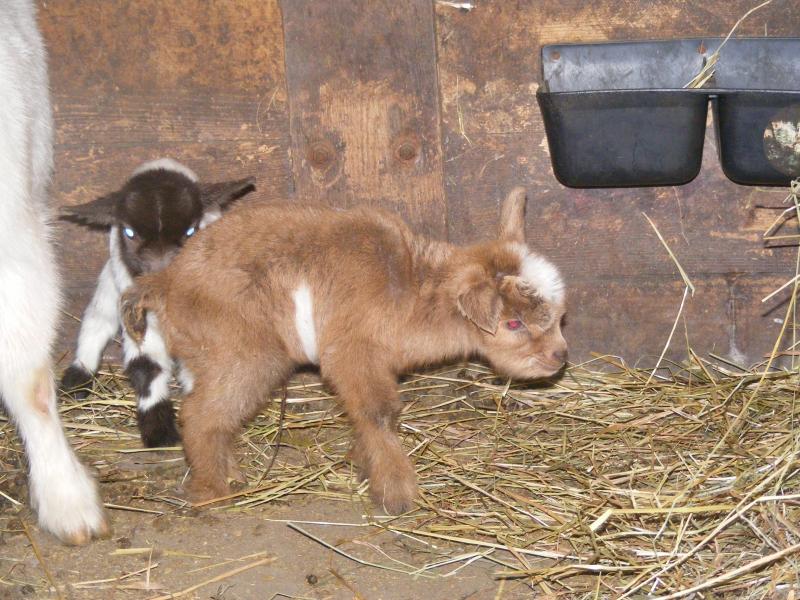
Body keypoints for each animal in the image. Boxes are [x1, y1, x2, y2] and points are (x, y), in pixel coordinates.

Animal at [60, 159, 256, 447]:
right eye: (129, 232)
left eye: (191, 230)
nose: (161, 277)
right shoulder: (138, 318)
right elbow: (146, 366)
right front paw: (159, 431)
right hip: (111, 286)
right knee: (97, 322)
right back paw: (76, 378)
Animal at [122, 187, 567, 513]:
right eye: (513, 323)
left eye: (561, 315)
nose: (559, 357)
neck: (414, 289)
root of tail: (165, 282)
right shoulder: (352, 351)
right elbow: (378, 413)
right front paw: (396, 493)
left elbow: (367, 414)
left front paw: (365, 466)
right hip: (244, 352)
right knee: (200, 413)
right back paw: (214, 490)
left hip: (207, 354)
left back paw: (226, 472)